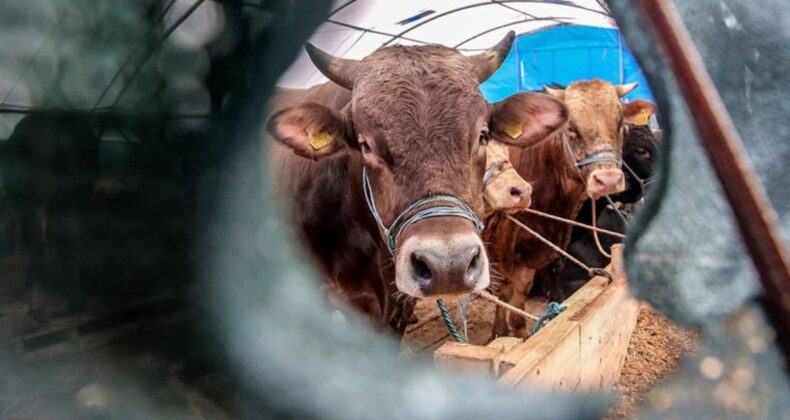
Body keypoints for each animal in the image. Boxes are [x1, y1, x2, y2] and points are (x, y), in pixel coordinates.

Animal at [488, 79, 656, 338]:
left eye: (620, 125)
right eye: (571, 128)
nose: (608, 180)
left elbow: (520, 296)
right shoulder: (501, 245)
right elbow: (503, 291)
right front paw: (499, 332)